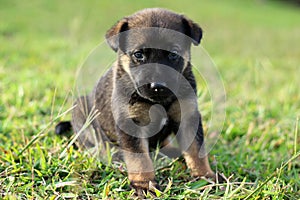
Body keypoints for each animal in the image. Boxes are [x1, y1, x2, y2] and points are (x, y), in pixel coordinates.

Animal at [56, 8, 218, 195]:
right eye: (138, 55)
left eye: (173, 54)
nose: (158, 86)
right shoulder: (131, 123)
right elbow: (140, 160)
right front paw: (144, 185)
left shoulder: (188, 116)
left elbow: (196, 150)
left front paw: (205, 176)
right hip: (80, 110)